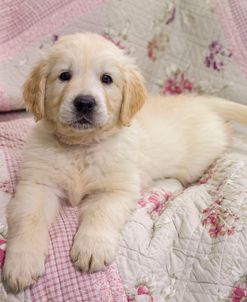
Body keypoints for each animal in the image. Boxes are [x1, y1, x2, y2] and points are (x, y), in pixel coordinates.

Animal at [2, 32, 247, 290]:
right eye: (64, 75)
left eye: (106, 79)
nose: (85, 102)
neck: (82, 146)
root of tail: (200, 101)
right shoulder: (38, 185)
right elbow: (29, 218)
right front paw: (22, 263)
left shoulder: (116, 189)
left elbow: (100, 213)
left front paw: (92, 248)